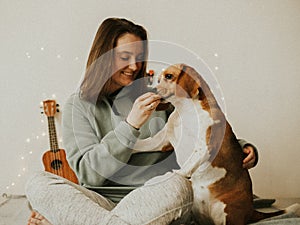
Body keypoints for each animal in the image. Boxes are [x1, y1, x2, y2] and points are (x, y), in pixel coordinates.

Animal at [135, 64, 298, 224]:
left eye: (169, 76)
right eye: (158, 79)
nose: (152, 90)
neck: (186, 111)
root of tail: (251, 211)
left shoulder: (204, 147)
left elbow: (185, 167)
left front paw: (171, 175)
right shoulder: (162, 141)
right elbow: (142, 144)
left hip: (227, 211)